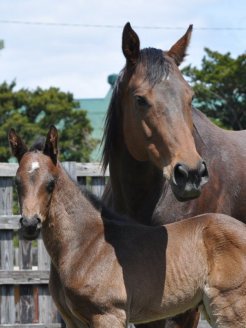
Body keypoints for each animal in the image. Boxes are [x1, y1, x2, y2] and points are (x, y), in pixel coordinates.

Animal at [9, 125, 246, 328]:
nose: (30, 224)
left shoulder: (109, 314)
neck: (85, 244)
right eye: (17, 183)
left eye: (50, 183)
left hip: (230, 307)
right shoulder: (73, 321)